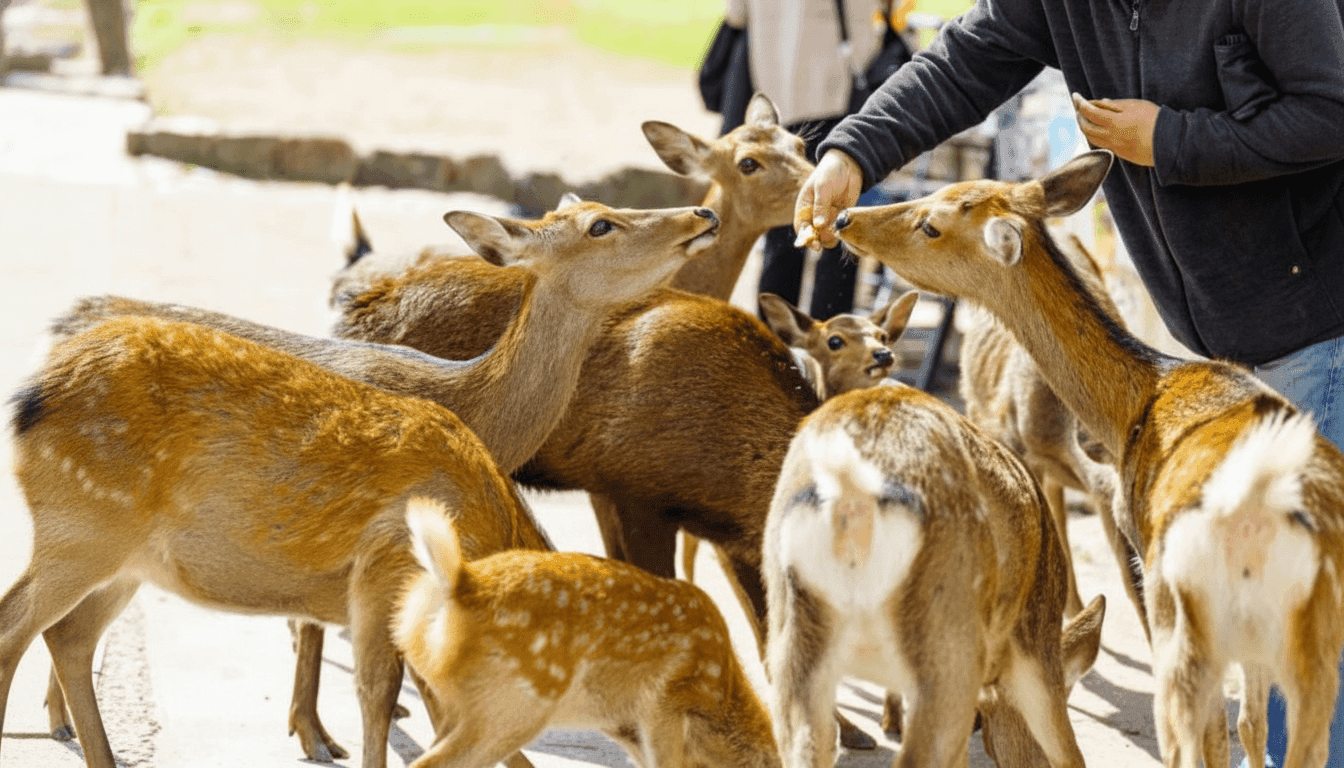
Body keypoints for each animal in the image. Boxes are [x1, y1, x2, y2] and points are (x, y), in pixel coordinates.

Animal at [23, 199, 719, 767]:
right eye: (601, 224)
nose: (701, 214)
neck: (477, 410)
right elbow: (326, 631)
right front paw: (314, 734)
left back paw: (59, 718)